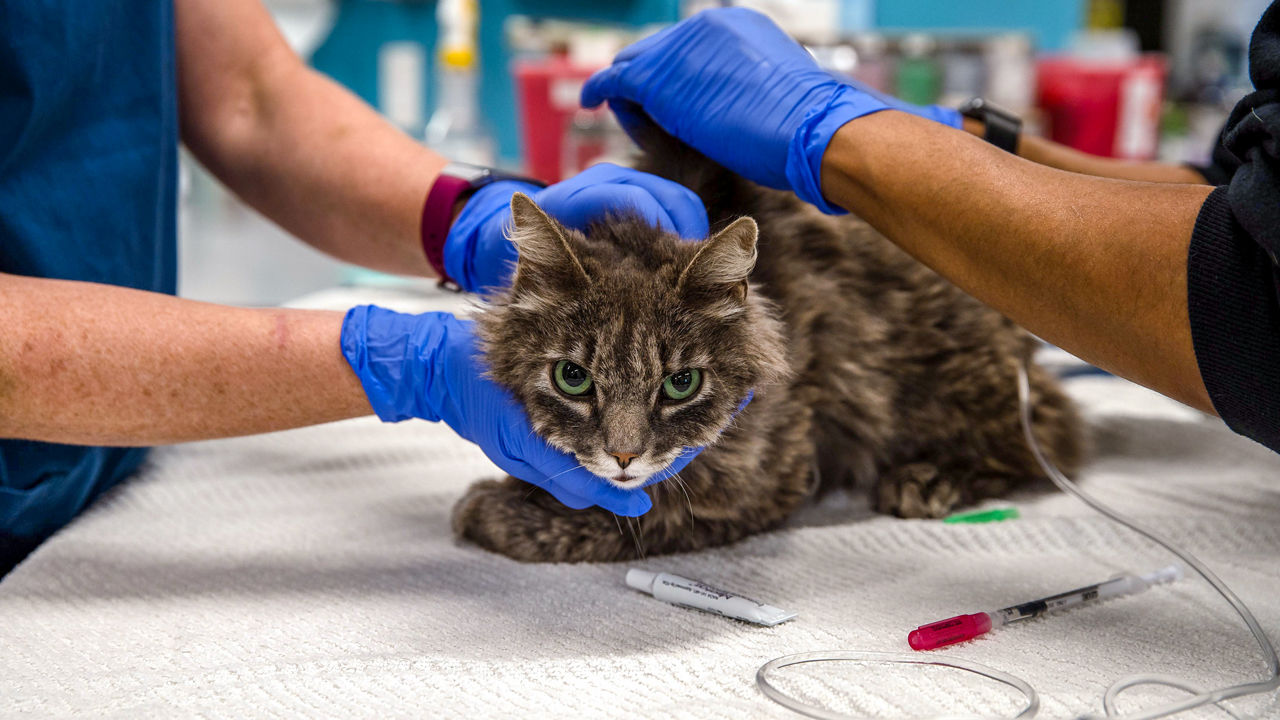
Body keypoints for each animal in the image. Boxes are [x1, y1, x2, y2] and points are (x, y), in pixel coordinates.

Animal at [450, 131, 1080, 563]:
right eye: (573, 378)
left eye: (681, 384)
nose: (624, 456)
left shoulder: (764, 480)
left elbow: (636, 518)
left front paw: (490, 509)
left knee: (1048, 438)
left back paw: (925, 480)